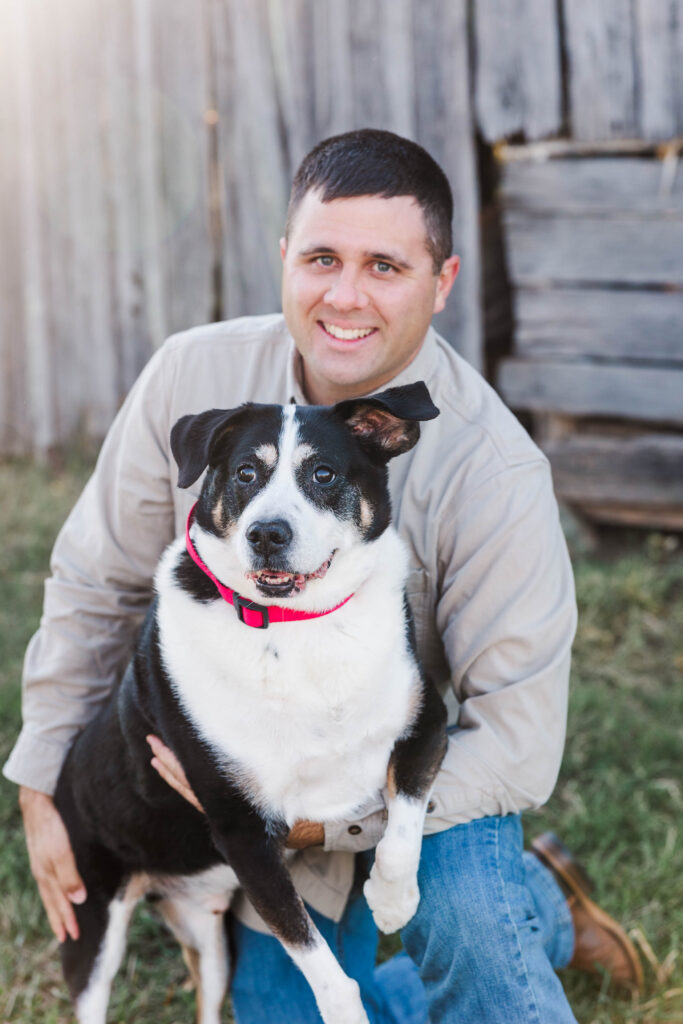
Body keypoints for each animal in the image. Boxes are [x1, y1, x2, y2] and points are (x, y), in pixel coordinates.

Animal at [54, 380, 448, 1019]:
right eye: (245, 473)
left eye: (322, 474)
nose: (266, 534)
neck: (296, 624)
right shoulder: (241, 830)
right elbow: (323, 966)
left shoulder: (427, 723)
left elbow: (404, 824)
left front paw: (393, 901)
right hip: (92, 926)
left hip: (212, 941)